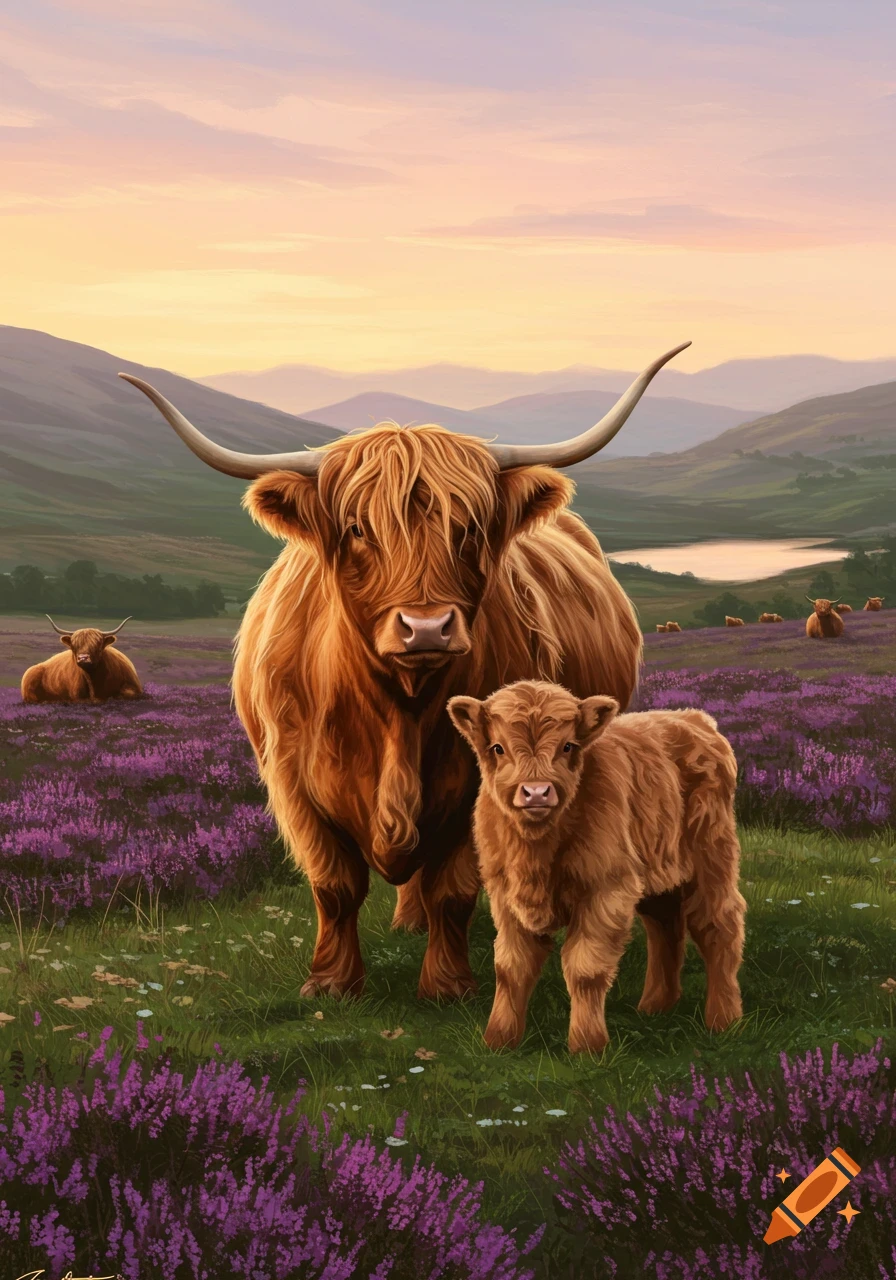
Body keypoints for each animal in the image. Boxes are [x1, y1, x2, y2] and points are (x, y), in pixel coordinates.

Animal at [120, 341, 691, 1003]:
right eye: (357, 529)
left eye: (467, 528)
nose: (426, 628)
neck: (399, 710)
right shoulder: (293, 784)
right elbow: (334, 885)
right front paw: (331, 984)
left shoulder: (482, 784)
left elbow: (454, 888)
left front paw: (447, 985)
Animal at [447, 680, 745, 1054]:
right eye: (498, 748)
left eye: (567, 746)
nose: (536, 792)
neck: (537, 850)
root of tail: (695, 719)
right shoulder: (505, 896)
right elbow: (510, 967)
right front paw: (499, 1040)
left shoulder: (605, 889)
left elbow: (584, 968)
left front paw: (587, 1046)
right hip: (657, 871)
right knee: (665, 926)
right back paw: (656, 1006)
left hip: (712, 857)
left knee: (718, 924)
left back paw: (723, 1019)